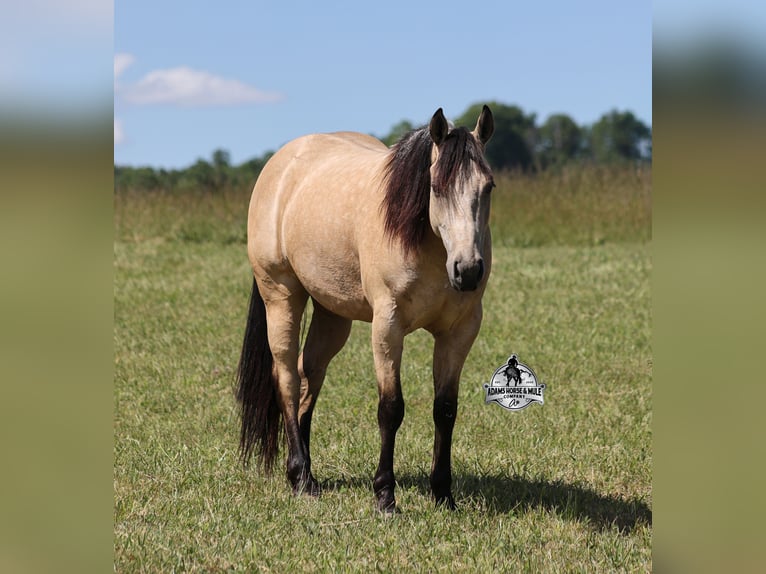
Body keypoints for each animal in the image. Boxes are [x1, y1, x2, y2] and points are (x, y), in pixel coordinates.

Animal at [236, 106, 495, 512]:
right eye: (436, 187)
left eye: (488, 187)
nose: (467, 270)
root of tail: (281, 164)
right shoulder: (387, 326)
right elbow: (391, 408)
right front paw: (385, 495)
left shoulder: (459, 331)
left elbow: (445, 409)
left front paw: (443, 494)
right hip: (280, 297)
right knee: (288, 379)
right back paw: (300, 478)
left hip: (332, 315)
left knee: (309, 375)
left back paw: (307, 469)